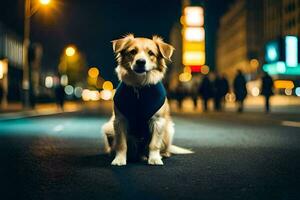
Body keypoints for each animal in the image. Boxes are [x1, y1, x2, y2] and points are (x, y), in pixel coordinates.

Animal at [102, 34, 192, 166]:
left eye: (151, 53)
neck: (140, 87)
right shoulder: (119, 121)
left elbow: (154, 144)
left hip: (168, 129)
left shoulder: (158, 121)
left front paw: (154, 159)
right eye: (133, 52)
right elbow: (121, 144)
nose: (141, 62)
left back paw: (160, 154)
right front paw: (119, 159)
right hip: (108, 127)